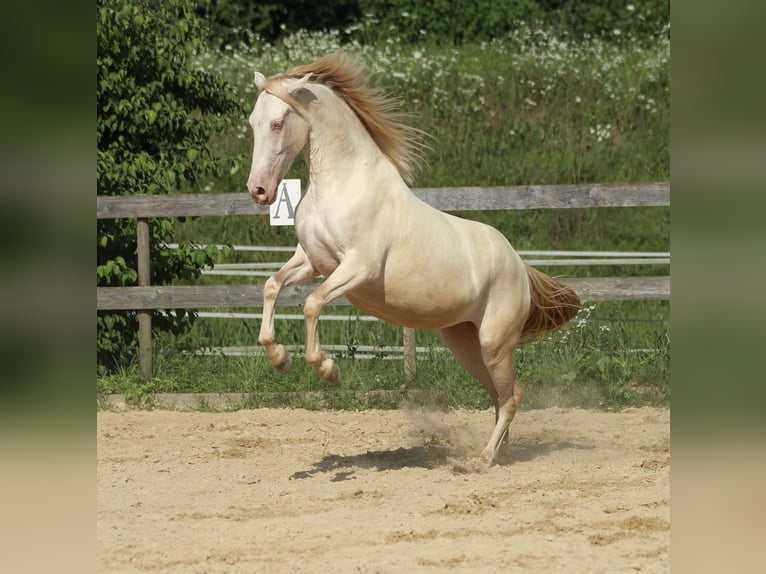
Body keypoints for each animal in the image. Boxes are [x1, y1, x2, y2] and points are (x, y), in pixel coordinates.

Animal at [249, 53, 580, 468]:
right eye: (252, 123)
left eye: (278, 123)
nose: (259, 191)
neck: (341, 185)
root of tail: (520, 266)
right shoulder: (312, 262)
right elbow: (272, 286)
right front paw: (279, 359)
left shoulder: (357, 268)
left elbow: (312, 303)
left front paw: (328, 369)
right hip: (464, 342)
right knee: (501, 395)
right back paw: (497, 454)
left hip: (494, 342)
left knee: (512, 396)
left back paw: (484, 459)